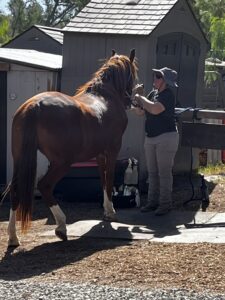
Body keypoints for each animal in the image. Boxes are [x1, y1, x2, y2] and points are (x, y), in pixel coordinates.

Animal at [0, 48, 138, 246]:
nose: (130, 100)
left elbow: (103, 179)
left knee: (14, 190)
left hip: (19, 159)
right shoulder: (112, 150)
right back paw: (61, 227)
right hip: (62, 163)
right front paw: (111, 212)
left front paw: (106, 211)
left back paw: (13, 237)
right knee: (45, 186)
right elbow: (110, 178)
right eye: (133, 73)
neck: (105, 96)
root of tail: (34, 106)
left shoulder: (99, 154)